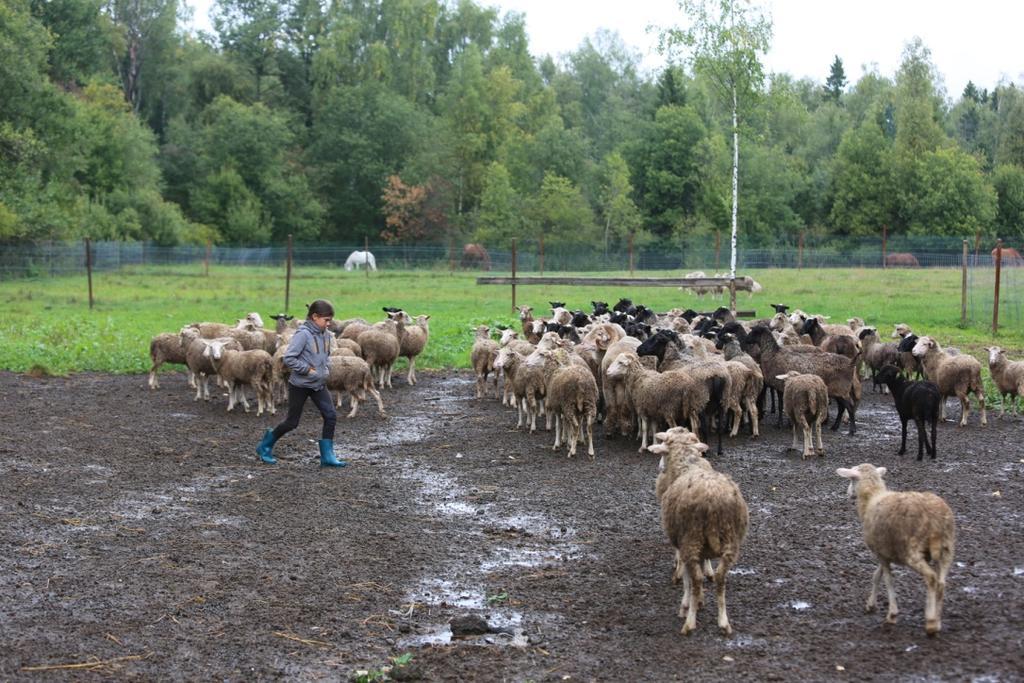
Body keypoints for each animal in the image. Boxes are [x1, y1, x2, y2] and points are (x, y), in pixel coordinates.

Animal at [651, 428, 749, 634]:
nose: (659, 467)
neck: (686, 465)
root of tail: (712, 501)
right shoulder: (701, 550)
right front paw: (701, 601)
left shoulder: (683, 544)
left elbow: (688, 579)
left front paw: (687, 605)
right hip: (729, 542)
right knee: (720, 578)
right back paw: (723, 622)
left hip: (692, 539)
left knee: (696, 580)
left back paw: (689, 623)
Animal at [835, 464, 954, 634]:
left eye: (851, 479)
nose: (848, 493)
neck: (872, 498)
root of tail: (935, 521)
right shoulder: (883, 551)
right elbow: (876, 576)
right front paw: (871, 604)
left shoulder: (882, 554)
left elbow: (888, 580)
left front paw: (892, 614)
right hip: (947, 550)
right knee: (941, 583)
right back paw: (937, 622)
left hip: (912, 552)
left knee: (931, 578)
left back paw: (931, 622)